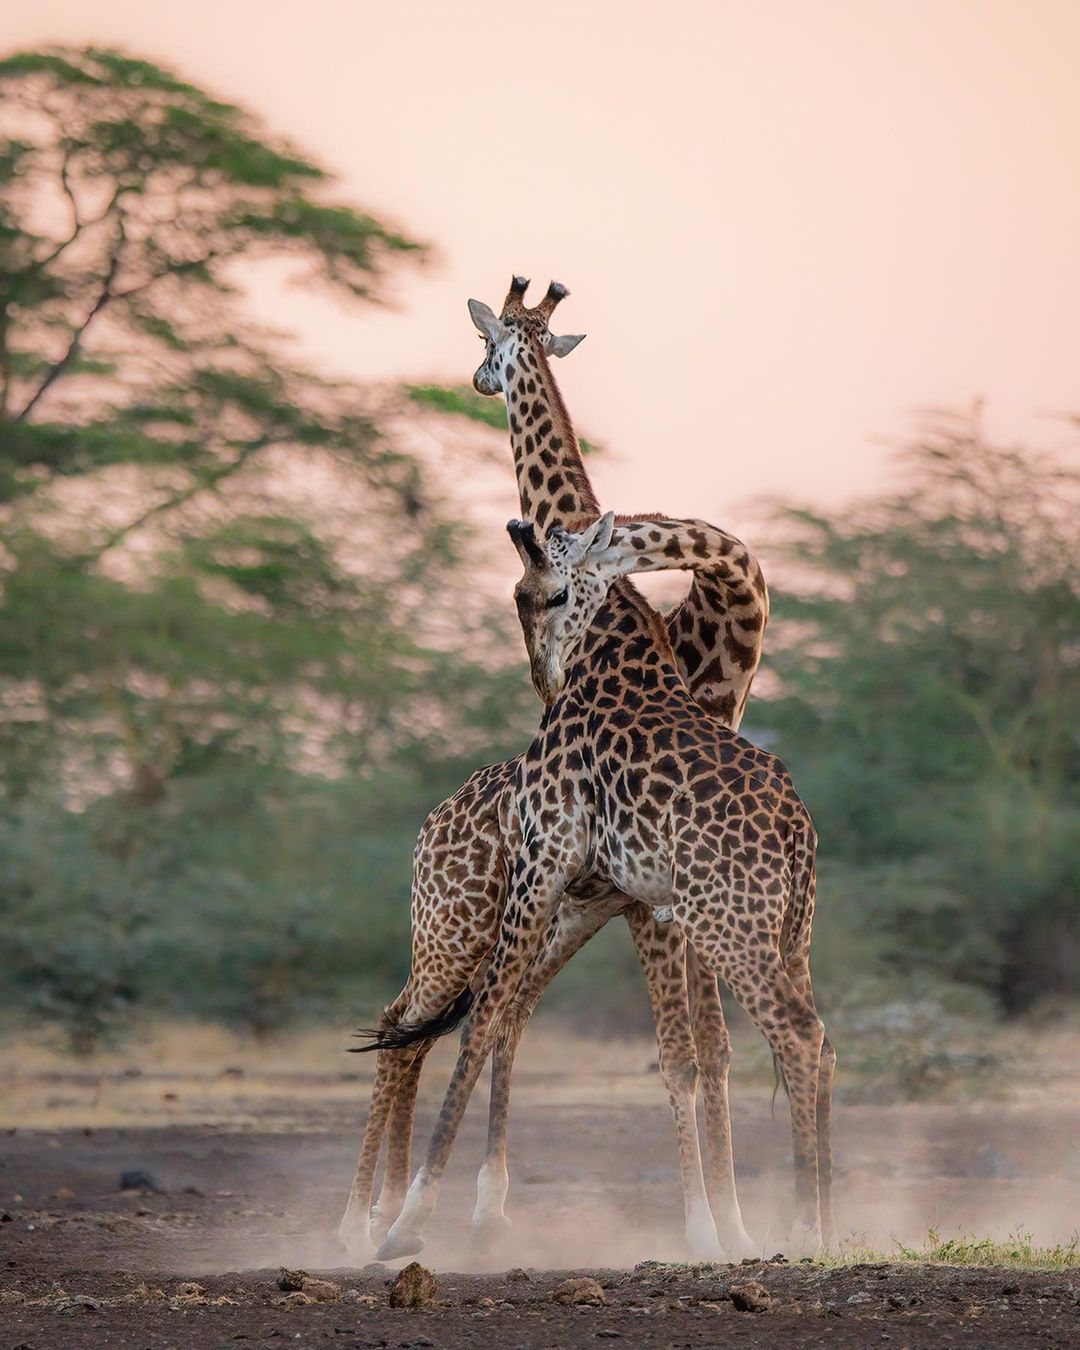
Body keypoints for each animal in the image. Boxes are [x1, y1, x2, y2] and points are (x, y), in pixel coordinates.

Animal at [337, 276, 766, 1263]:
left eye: (489, 344)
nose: (474, 378)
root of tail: (429, 828)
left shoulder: (648, 902)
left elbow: (701, 1052)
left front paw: (720, 1226)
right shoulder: (643, 901)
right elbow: (690, 1053)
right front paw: (712, 1224)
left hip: (541, 921)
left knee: (464, 1023)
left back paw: (413, 1214)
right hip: (461, 922)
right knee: (409, 1023)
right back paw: (362, 1221)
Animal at [375, 510, 837, 1258]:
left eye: (554, 593)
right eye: (520, 594)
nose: (545, 675)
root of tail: (796, 826)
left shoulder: (547, 859)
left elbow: (482, 1025)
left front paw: (411, 1225)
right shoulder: (604, 890)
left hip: (725, 923)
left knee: (797, 1032)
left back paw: (802, 1230)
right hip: (785, 930)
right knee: (818, 1040)